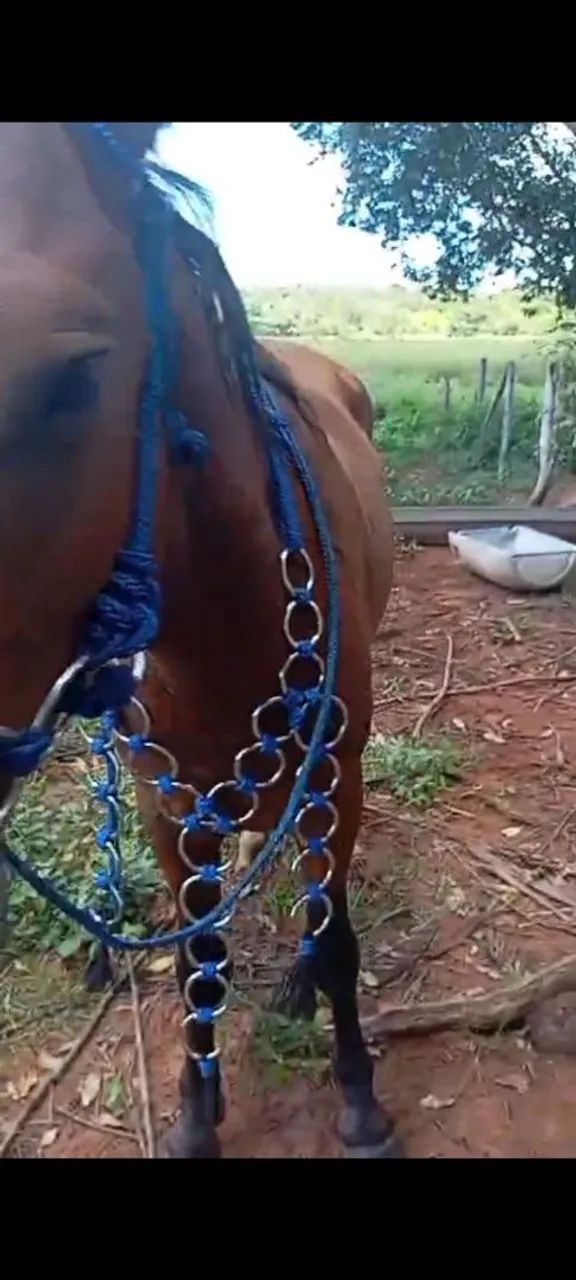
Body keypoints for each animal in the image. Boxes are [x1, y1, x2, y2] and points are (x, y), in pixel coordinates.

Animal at [0, 122, 397, 1160]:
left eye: (71, 379)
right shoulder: (165, 803)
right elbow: (195, 958)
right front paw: (193, 1112)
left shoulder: (337, 772)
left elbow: (336, 939)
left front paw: (360, 1100)